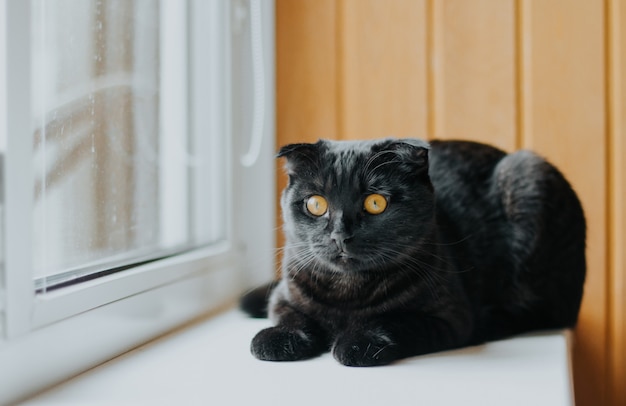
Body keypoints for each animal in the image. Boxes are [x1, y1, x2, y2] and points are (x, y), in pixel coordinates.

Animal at [240, 138, 584, 366]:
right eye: (316, 204)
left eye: (376, 202)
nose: (340, 235)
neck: (347, 294)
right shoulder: (285, 295)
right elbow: (289, 314)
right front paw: (277, 338)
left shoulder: (447, 317)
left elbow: (391, 321)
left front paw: (357, 343)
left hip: (528, 177)